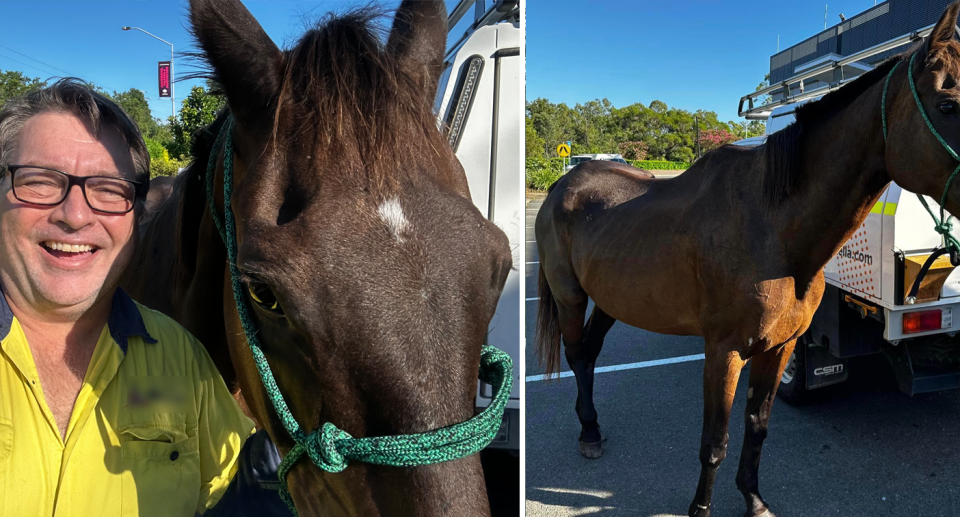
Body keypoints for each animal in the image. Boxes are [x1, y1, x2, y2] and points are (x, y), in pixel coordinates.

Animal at [536, 4, 960, 516]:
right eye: (948, 106)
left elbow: (757, 426)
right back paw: (589, 432)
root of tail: (563, 183)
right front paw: (701, 509)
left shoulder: (779, 348)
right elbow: (714, 441)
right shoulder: (725, 352)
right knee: (577, 353)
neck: (774, 230)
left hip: (612, 298)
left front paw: (754, 499)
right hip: (570, 296)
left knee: (592, 352)